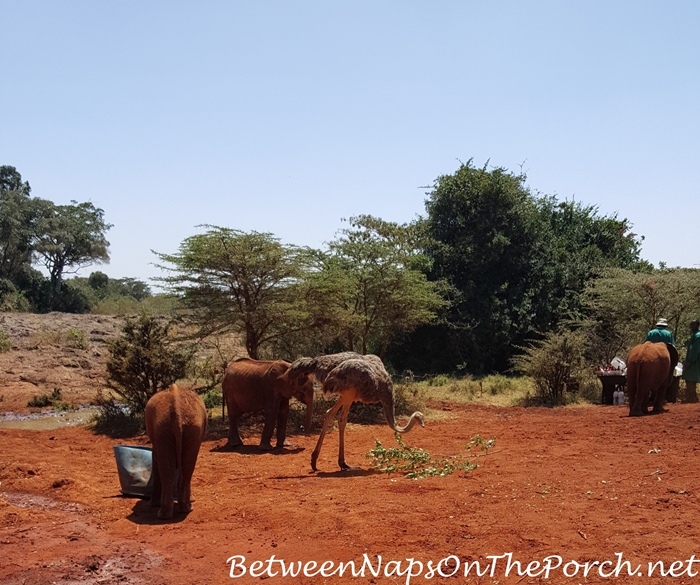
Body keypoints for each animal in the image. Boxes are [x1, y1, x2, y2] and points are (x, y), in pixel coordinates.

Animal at [144, 386, 206, 516]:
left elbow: (156, 460)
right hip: (189, 427)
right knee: (186, 465)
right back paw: (183, 510)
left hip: (164, 428)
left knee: (169, 467)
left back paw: (165, 514)